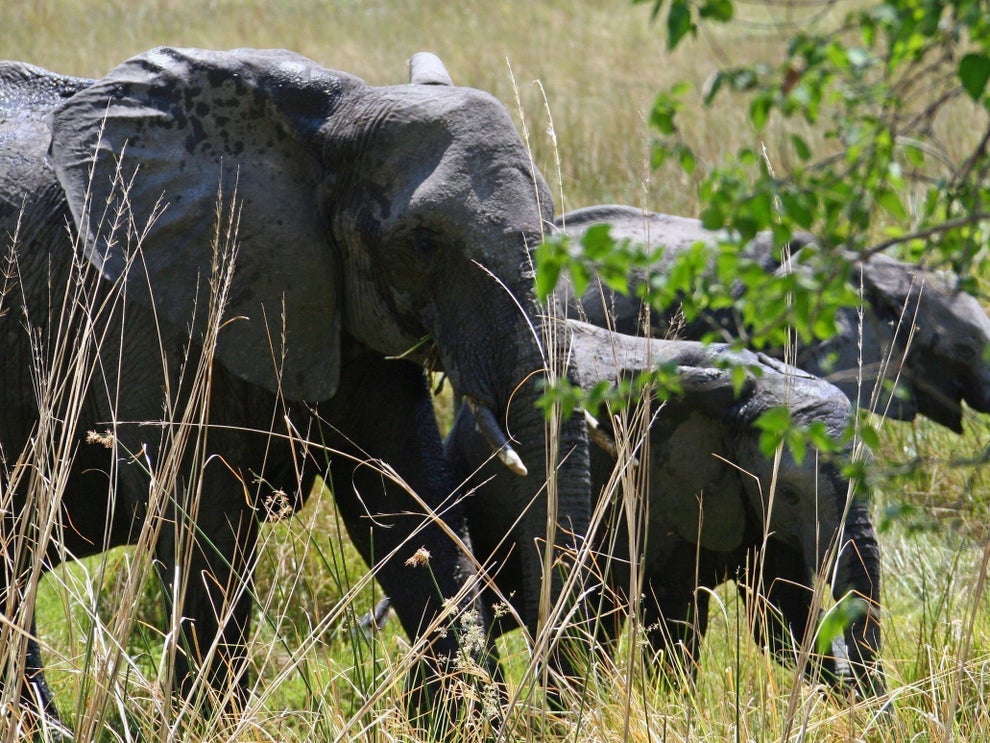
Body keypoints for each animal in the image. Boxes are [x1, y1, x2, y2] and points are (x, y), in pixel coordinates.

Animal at [0, 48, 588, 728]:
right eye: (422, 243)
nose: (557, 710)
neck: (326, 125)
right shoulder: (138, 304)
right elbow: (201, 521)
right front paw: (209, 728)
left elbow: (406, 501)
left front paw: (465, 721)